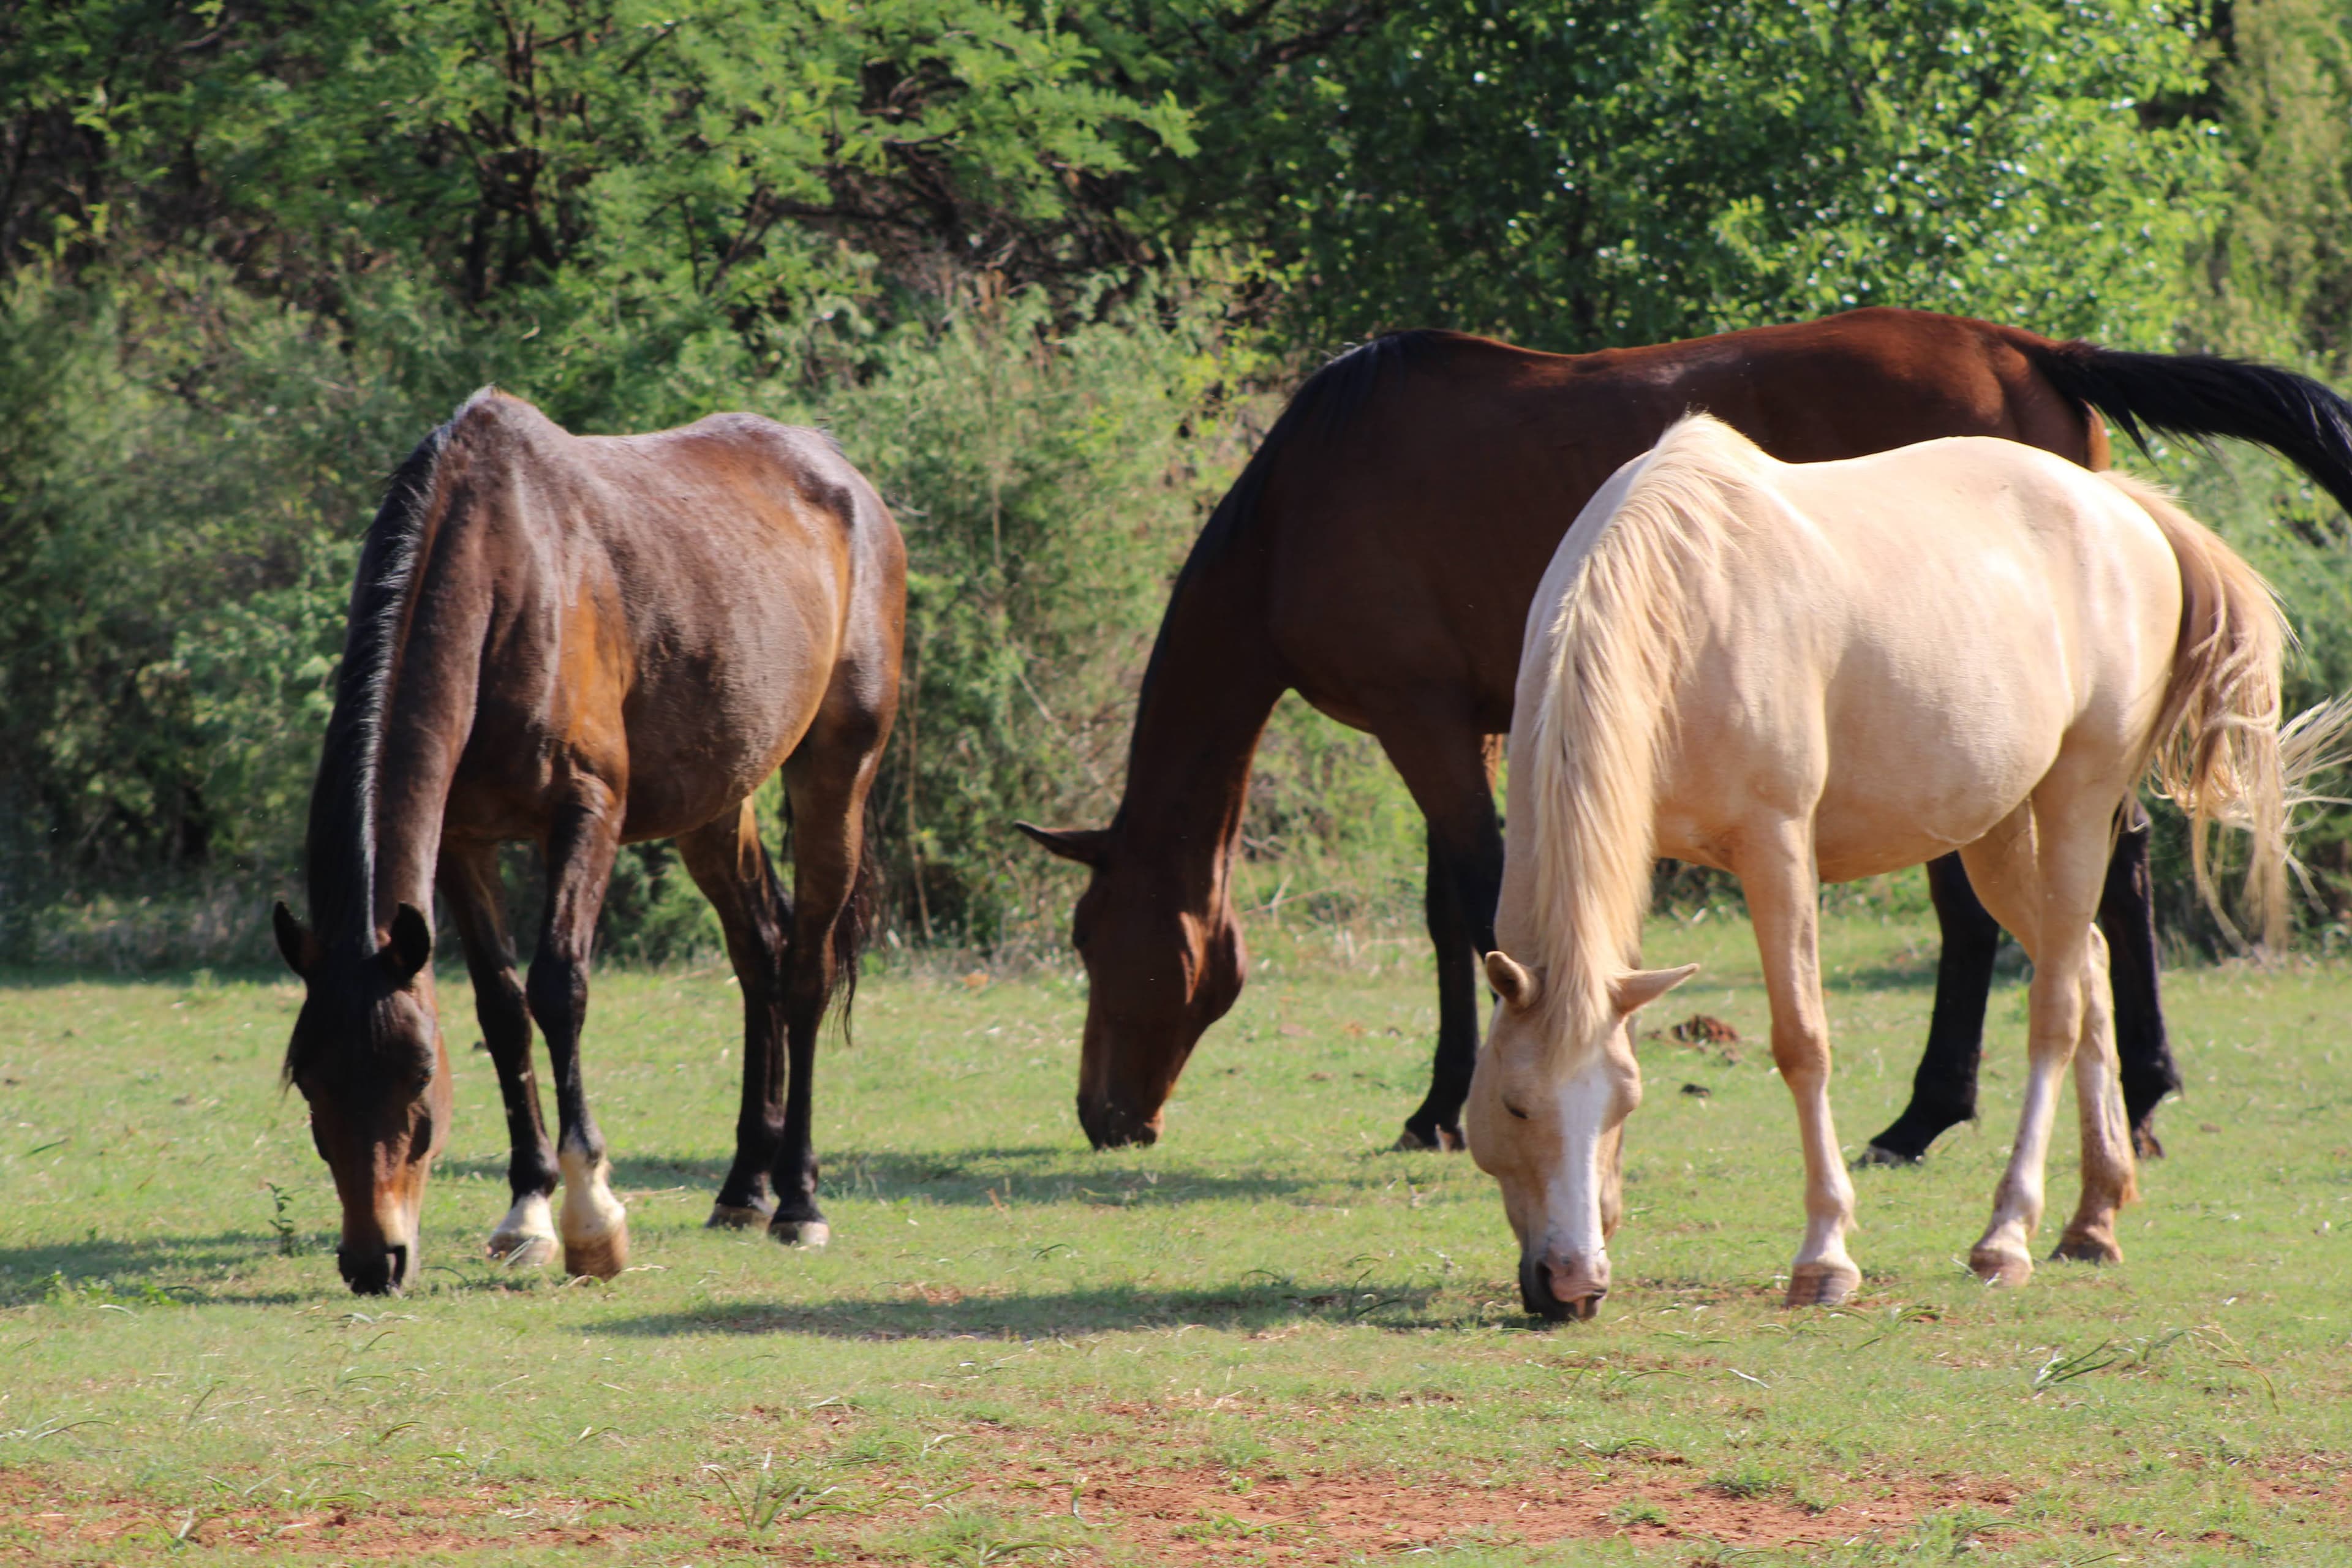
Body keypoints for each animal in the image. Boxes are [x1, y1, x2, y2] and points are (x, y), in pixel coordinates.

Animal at [272, 389, 903, 1295]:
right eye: (308, 1080)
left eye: (420, 1076)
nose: (373, 1259)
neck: (508, 572)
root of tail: (841, 474)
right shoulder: (463, 840)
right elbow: (502, 1008)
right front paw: (527, 1213)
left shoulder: (587, 814)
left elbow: (559, 988)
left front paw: (591, 1221)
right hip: (716, 801)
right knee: (761, 953)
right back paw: (744, 1187)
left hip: (837, 769)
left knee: (808, 969)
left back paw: (798, 1200)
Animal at [1016, 308, 2352, 1160]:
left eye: (1098, 942)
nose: (1104, 1115)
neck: (1307, 497)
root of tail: (2032, 351)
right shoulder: (1481, 726)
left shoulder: (1424, 721)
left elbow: (1463, 904)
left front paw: (1442, 1106)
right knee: (2071, 886)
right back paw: (1998, 1109)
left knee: (2071, 887)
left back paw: (2030, 1107)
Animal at [1469, 414, 2342, 1319]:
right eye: (1513, 1104)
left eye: (1618, 1101)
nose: (1571, 1283)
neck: (1687, 598)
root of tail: (2120, 507)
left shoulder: (1777, 845)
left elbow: (1802, 1041)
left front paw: (1825, 1256)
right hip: (1996, 828)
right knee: (2088, 962)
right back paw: (2093, 1220)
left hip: (2078, 798)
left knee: (2057, 1008)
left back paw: (2007, 1236)